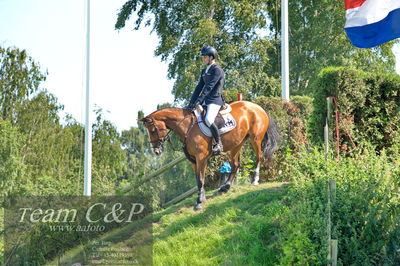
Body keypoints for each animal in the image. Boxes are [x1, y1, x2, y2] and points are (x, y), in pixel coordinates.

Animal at [140, 101, 282, 211]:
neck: (187, 127)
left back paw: (255, 180)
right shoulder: (193, 160)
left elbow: (201, 179)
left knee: (259, 158)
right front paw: (201, 197)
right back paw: (224, 187)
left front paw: (199, 202)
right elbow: (198, 179)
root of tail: (258, 107)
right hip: (237, 144)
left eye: (153, 130)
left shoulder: (201, 158)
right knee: (235, 165)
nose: (156, 151)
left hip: (256, 139)